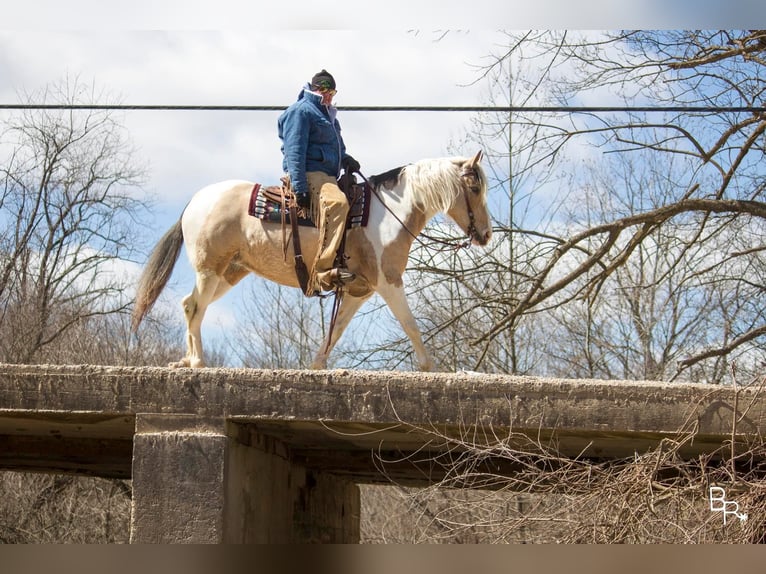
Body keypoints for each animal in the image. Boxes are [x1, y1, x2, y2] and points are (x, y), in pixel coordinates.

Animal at [130, 151, 492, 372]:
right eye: (475, 187)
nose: (486, 234)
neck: (390, 212)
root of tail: (194, 201)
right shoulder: (388, 281)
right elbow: (411, 325)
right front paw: (431, 368)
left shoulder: (359, 291)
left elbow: (335, 333)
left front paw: (316, 368)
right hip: (210, 269)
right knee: (195, 307)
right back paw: (198, 363)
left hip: (228, 273)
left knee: (188, 303)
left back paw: (185, 361)